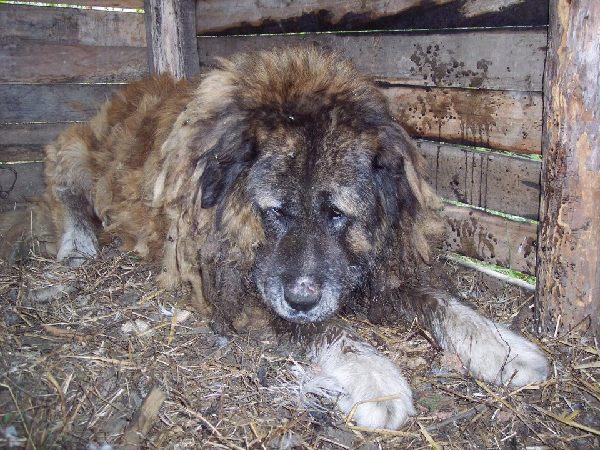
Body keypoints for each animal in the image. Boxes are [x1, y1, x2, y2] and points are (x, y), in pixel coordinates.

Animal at [42, 47, 549, 429]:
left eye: (336, 215)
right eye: (275, 212)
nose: (302, 298)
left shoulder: (381, 266)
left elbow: (441, 300)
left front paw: (503, 347)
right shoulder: (231, 288)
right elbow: (329, 329)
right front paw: (376, 379)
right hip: (79, 150)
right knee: (64, 189)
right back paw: (77, 243)